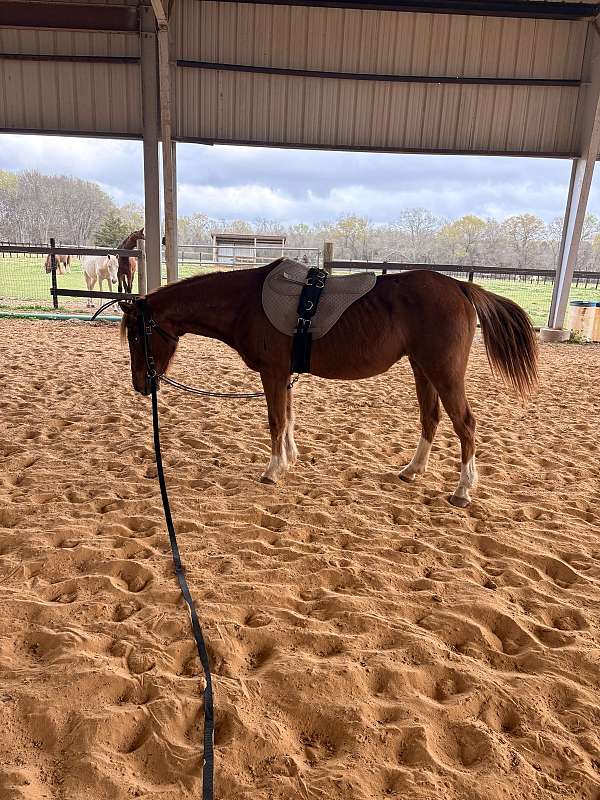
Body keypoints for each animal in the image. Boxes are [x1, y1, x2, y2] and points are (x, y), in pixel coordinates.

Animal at [119, 260, 538, 507]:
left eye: (137, 336)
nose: (141, 385)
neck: (245, 302)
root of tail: (460, 287)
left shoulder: (272, 372)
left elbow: (276, 421)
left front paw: (273, 470)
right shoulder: (283, 375)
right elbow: (287, 418)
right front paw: (290, 459)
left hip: (443, 372)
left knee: (465, 424)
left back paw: (463, 490)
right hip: (422, 368)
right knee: (430, 418)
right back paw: (412, 470)